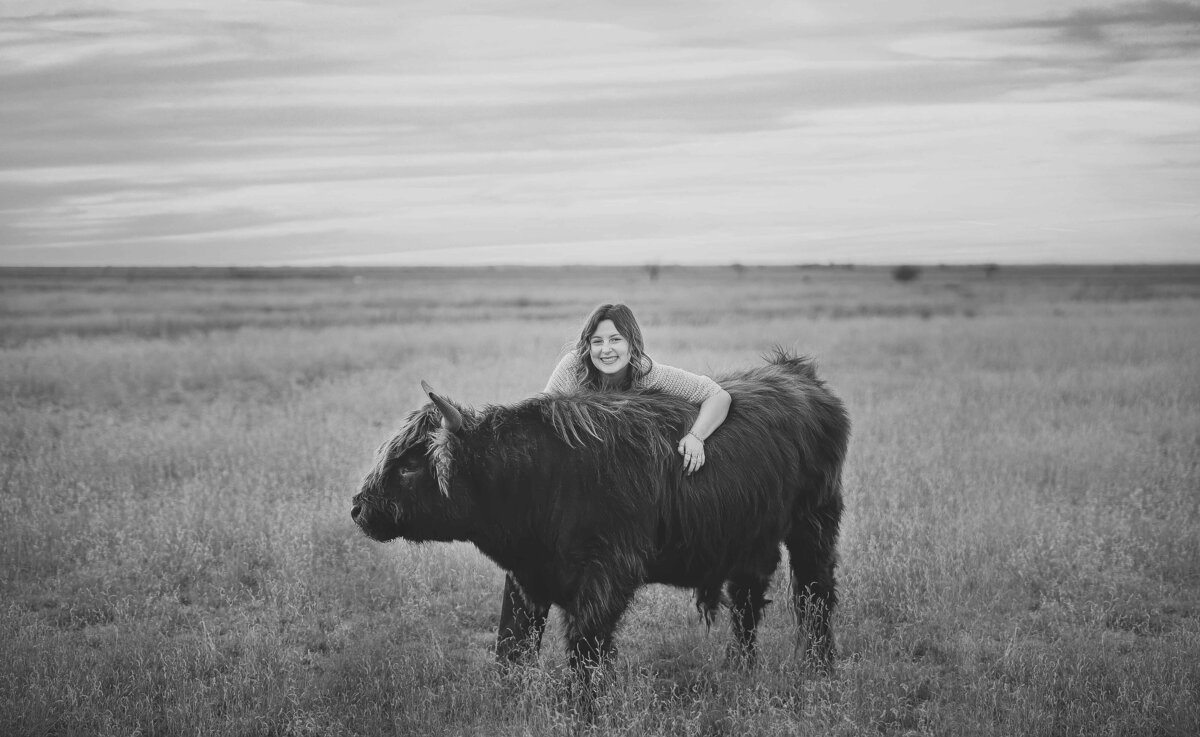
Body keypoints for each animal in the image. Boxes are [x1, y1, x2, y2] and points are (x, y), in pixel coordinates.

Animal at [350, 352, 849, 676]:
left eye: (409, 465)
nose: (359, 507)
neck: (542, 474)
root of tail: (795, 373)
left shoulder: (604, 577)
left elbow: (585, 653)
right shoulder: (529, 578)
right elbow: (514, 645)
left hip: (815, 525)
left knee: (815, 595)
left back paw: (819, 668)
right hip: (749, 539)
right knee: (747, 603)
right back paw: (739, 669)